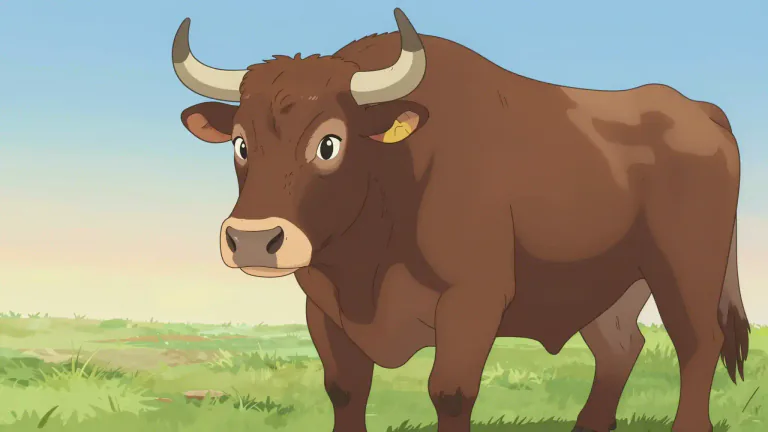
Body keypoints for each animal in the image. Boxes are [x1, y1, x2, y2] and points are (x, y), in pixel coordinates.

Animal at [170, 8, 750, 432]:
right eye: (241, 143)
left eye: (329, 143)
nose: (252, 240)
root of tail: (695, 109)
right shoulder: (322, 307)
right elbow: (346, 388)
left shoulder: (474, 299)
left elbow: (449, 391)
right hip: (610, 282)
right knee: (621, 350)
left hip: (685, 268)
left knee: (698, 344)